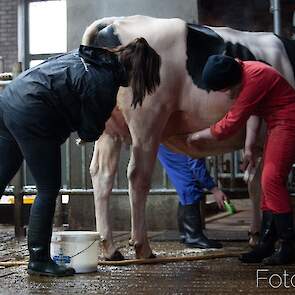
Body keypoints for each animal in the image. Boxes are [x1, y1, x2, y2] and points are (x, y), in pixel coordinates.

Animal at [81, 15, 295, 262]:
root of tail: (115, 22)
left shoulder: (258, 142)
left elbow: (255, 184)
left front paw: (256, 236)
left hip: (110, 130)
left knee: (102, 174)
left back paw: (110, 248)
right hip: (148, 119)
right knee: (137, 175)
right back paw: (142, 246)